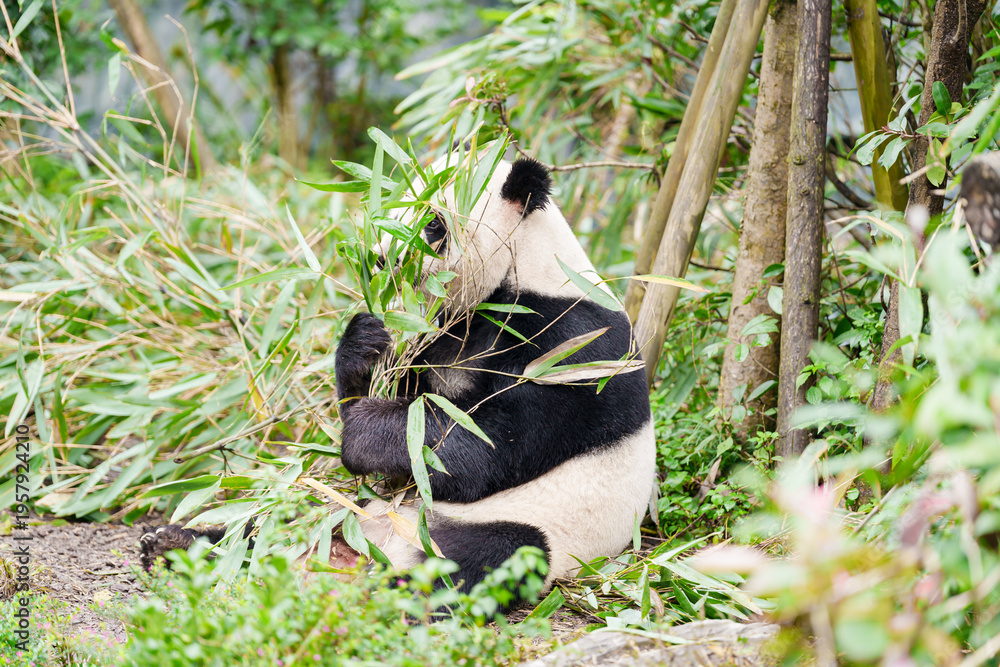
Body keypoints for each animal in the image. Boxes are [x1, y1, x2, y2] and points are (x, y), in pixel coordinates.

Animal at [141, 154, 656, 598]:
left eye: (433, 224)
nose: (378, 258)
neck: (526, 270)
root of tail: (365, 546)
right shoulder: (443, 334)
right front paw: (364, 344)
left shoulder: (571, 348)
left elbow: (482, 447)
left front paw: (366, 434)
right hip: (339, 507)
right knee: (268, 525)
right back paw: (174, 546)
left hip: (530, 522)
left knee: (487, 555)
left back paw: (386, 595)